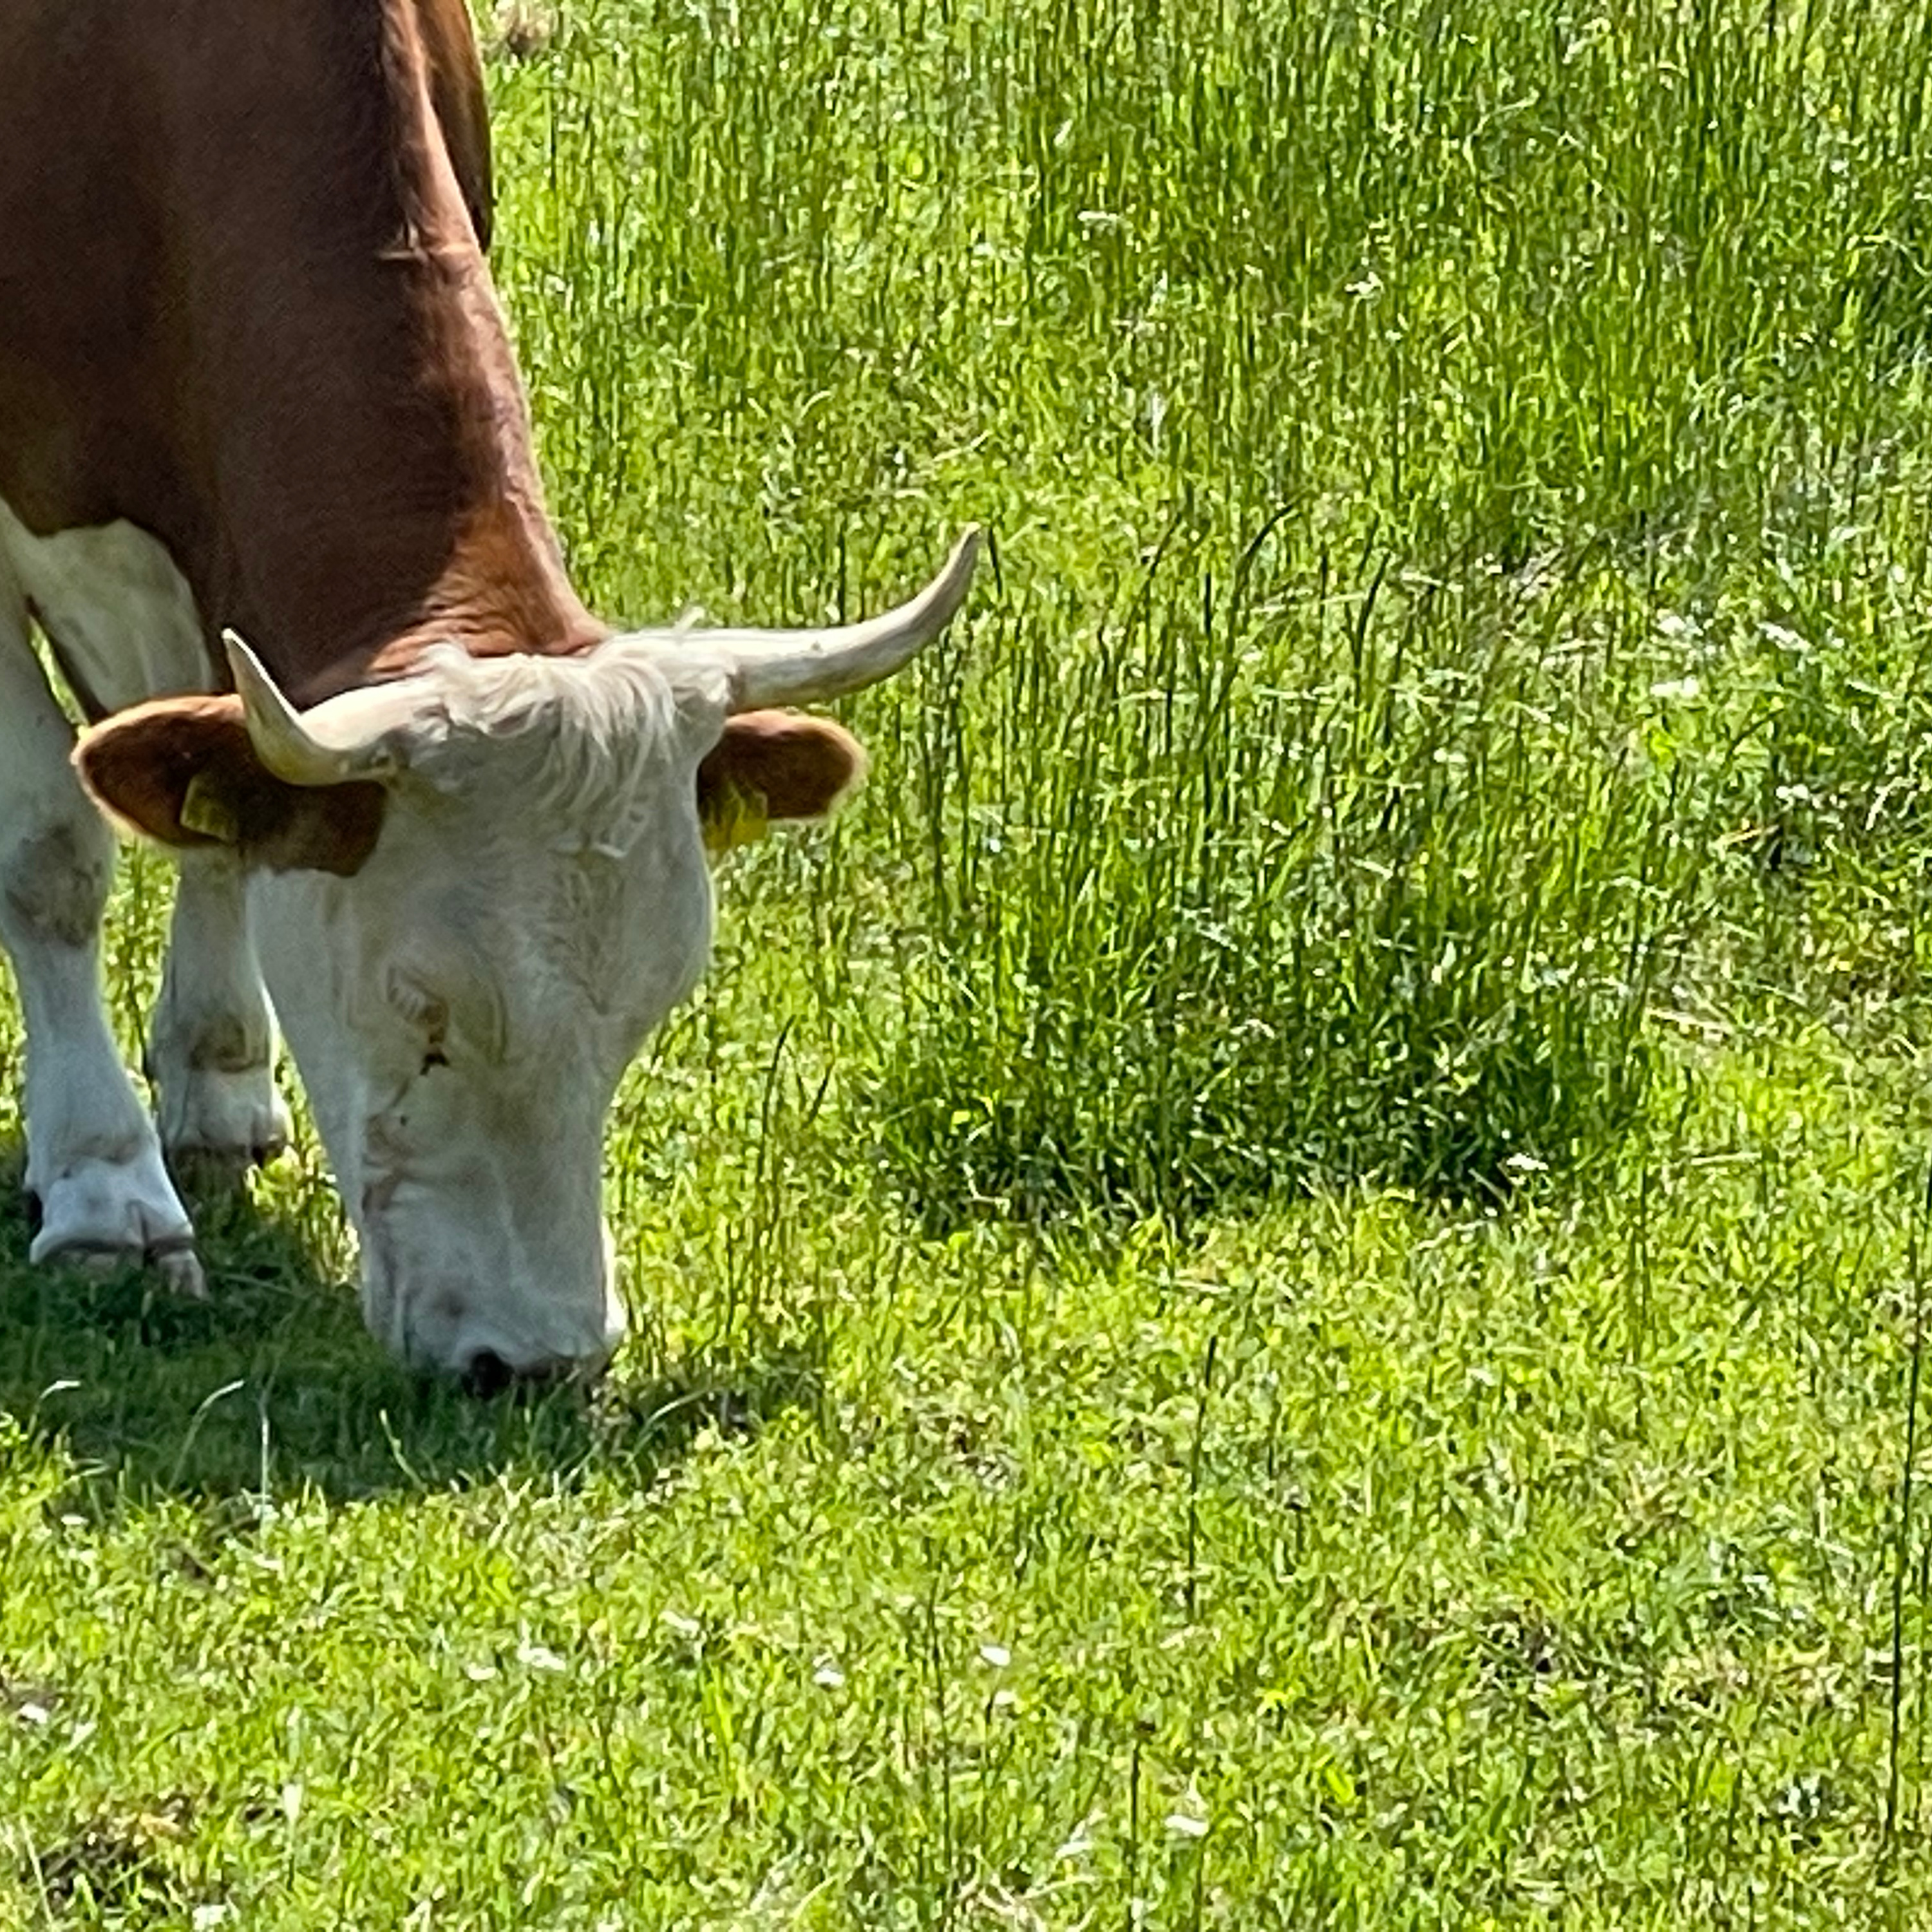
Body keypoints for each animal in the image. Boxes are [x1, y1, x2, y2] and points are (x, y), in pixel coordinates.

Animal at [0, 3, 974, 1391]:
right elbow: (52, 853)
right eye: (423, 1011)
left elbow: (221, 814)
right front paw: (101, 1187)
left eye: (651, 1005)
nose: (540, 1357)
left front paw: (219, 1077)